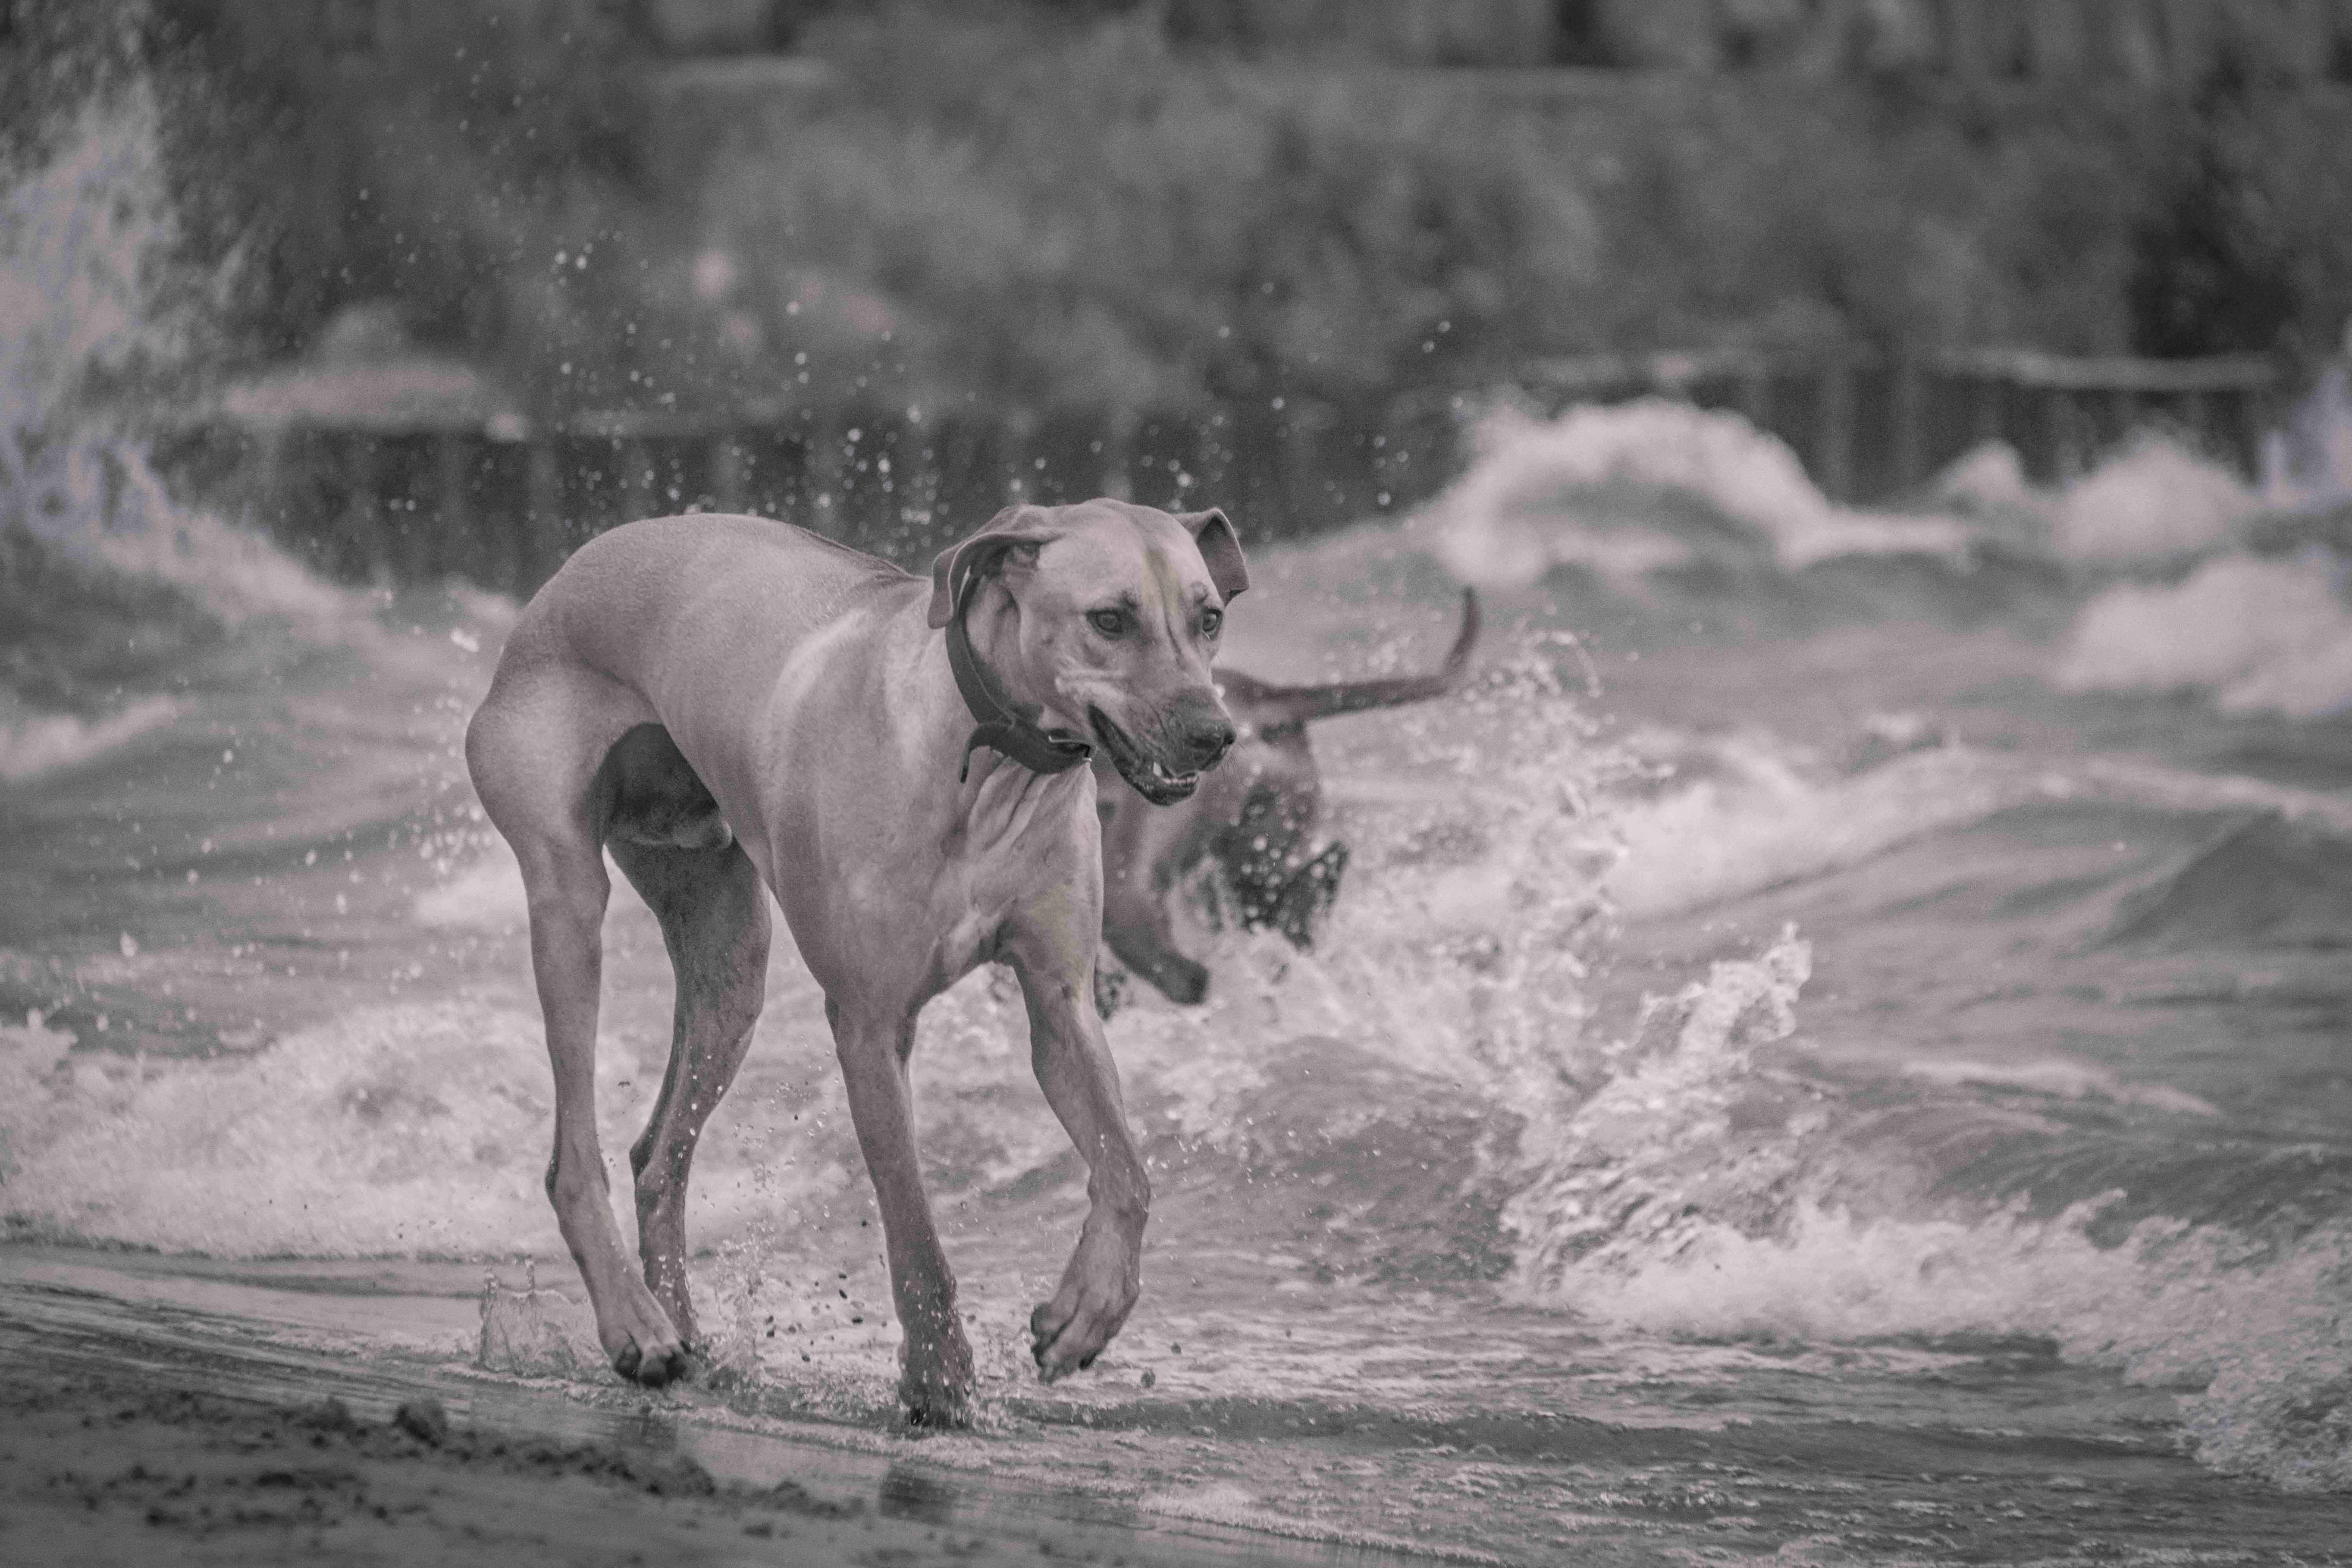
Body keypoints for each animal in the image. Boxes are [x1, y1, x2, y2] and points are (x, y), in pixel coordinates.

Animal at [466, 501, 1261, 1420]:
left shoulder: (1062, 1000)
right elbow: (914, 1226)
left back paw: (683, 1331)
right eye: (1110, 620)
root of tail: (568, 571)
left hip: (728, 955)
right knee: (574, 1150)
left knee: (659, 1153)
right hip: (567, 901)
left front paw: (1086, 1311)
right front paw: (939, 1377)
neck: (987, 763)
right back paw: (636, 1326)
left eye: (1211, 619)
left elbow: (1129, 1173)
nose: (1215, 736)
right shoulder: (870, 1024)